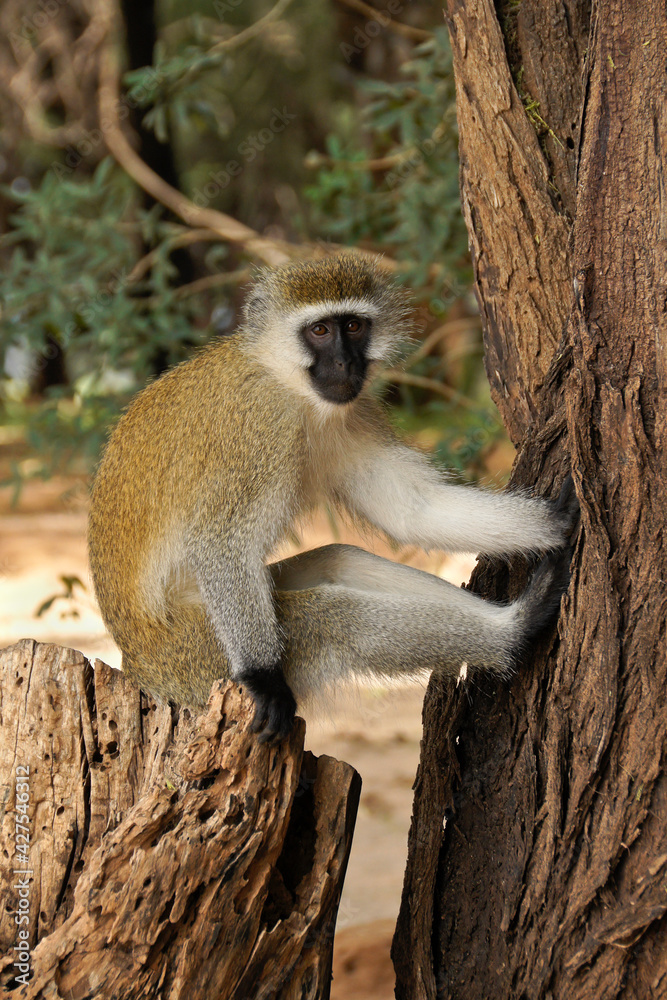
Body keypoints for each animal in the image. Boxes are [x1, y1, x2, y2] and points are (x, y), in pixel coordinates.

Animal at [88, 253, 577, 741]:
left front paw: (558, 522)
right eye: (320, 331)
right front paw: (264, 682)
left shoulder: (354, 412)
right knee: (337, 618)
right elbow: (220, 542)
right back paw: (514, 631)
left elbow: (412, 509)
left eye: (354, 327)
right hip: (196, 654)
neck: (285, 381)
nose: (344, 363)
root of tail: (138, 664)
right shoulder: (259, 426)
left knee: (341, 559)